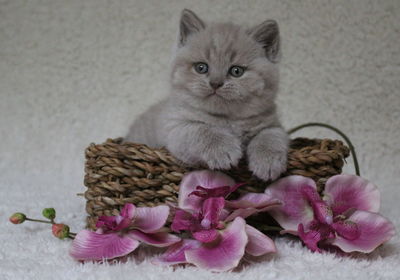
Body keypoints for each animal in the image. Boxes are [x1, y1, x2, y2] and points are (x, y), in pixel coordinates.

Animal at [125, 9, 288, 182]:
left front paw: (268, 162)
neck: (227, 120)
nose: (215, 83)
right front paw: (223, 150)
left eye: (236, 71)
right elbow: (202, 130)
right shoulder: (175, 128)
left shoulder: (273, 124)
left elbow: (271, 136)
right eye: (201, 67)